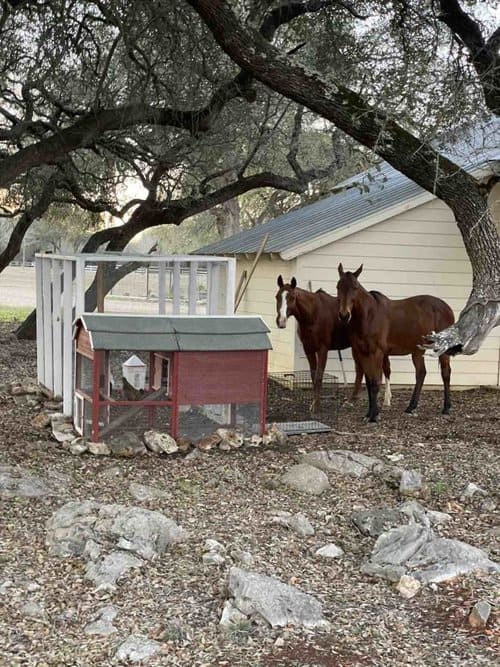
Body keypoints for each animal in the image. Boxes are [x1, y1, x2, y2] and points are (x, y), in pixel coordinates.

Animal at [275, 275, 391, 414]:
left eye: (292, 297)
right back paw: (352, 399)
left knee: (385, 369)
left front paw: (316, 407)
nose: (281, 321)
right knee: (360, 370)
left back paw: (386, 401)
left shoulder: (323, 349)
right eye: (277, 297)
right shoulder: (308, 349)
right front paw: (314, 404)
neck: (313, 314)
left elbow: (319, 377)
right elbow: (313, 376)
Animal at [336, 264, 454, 422]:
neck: (368, 316)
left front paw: (374, 416)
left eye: (355, 287)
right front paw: (369, 413)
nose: (344, 315)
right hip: (418, 350)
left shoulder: (377, 353)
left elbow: (375, 382)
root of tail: (447, 308)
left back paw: (446, 408)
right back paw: (411, 407)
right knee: (421, 373)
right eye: (338, 286)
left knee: (445, 373)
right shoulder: (363, 353)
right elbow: (368, 382)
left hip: (442, 349)